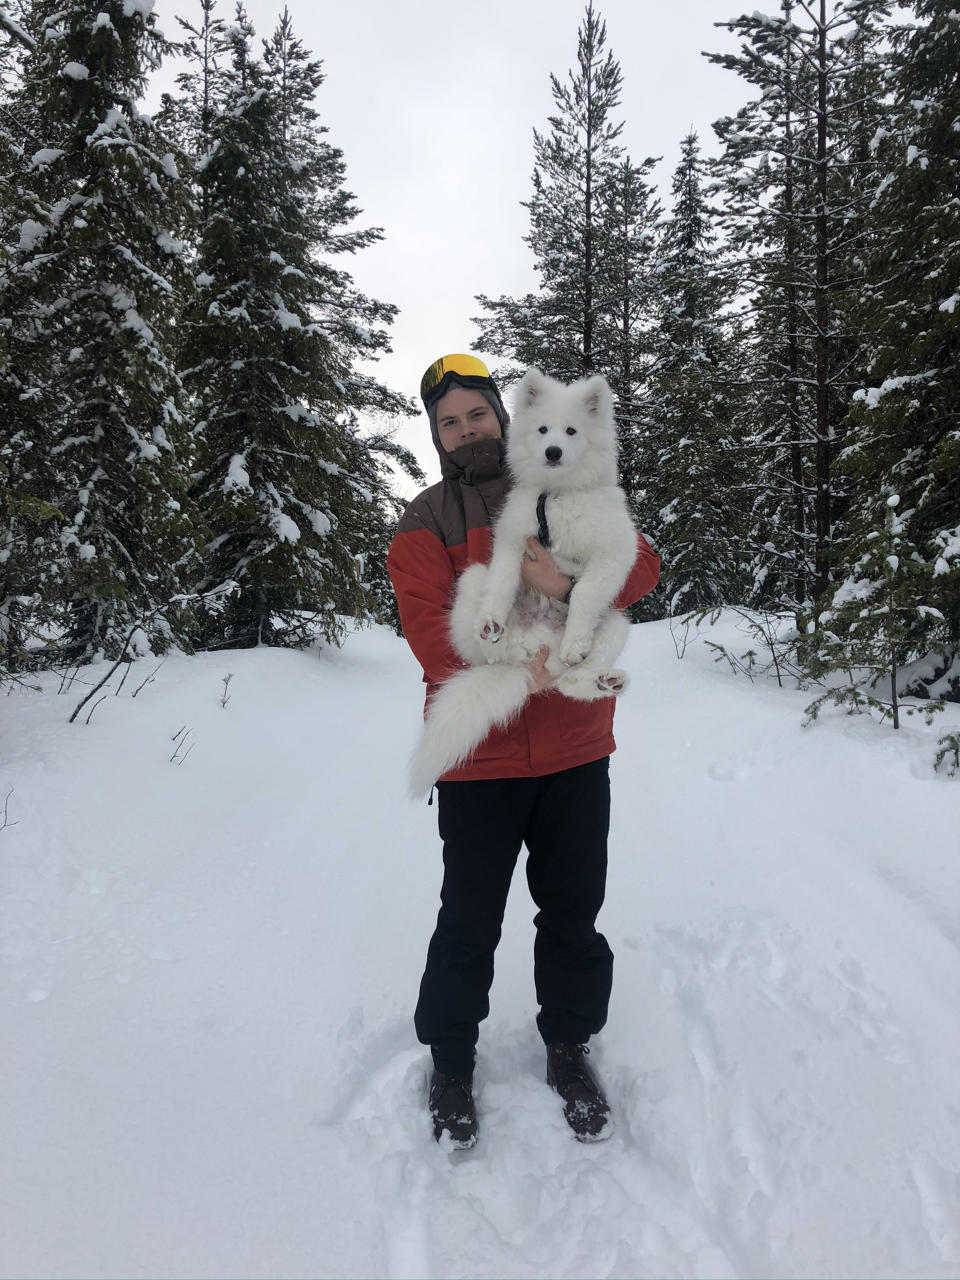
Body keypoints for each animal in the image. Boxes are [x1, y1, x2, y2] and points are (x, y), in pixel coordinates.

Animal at [407, 366, 640, 793]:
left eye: (571, 431)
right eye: (542, 429)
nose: (553, 452)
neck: (557, 496)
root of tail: (536, 644)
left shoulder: (616, 553)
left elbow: (584, 593)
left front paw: (575, 641)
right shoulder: (513, 541)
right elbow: (502, 580)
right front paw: (493, 619)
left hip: (617, 622)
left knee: (568, 680)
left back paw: (604, 679)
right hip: (471, 579)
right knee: (490, 648)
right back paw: (497, 637)